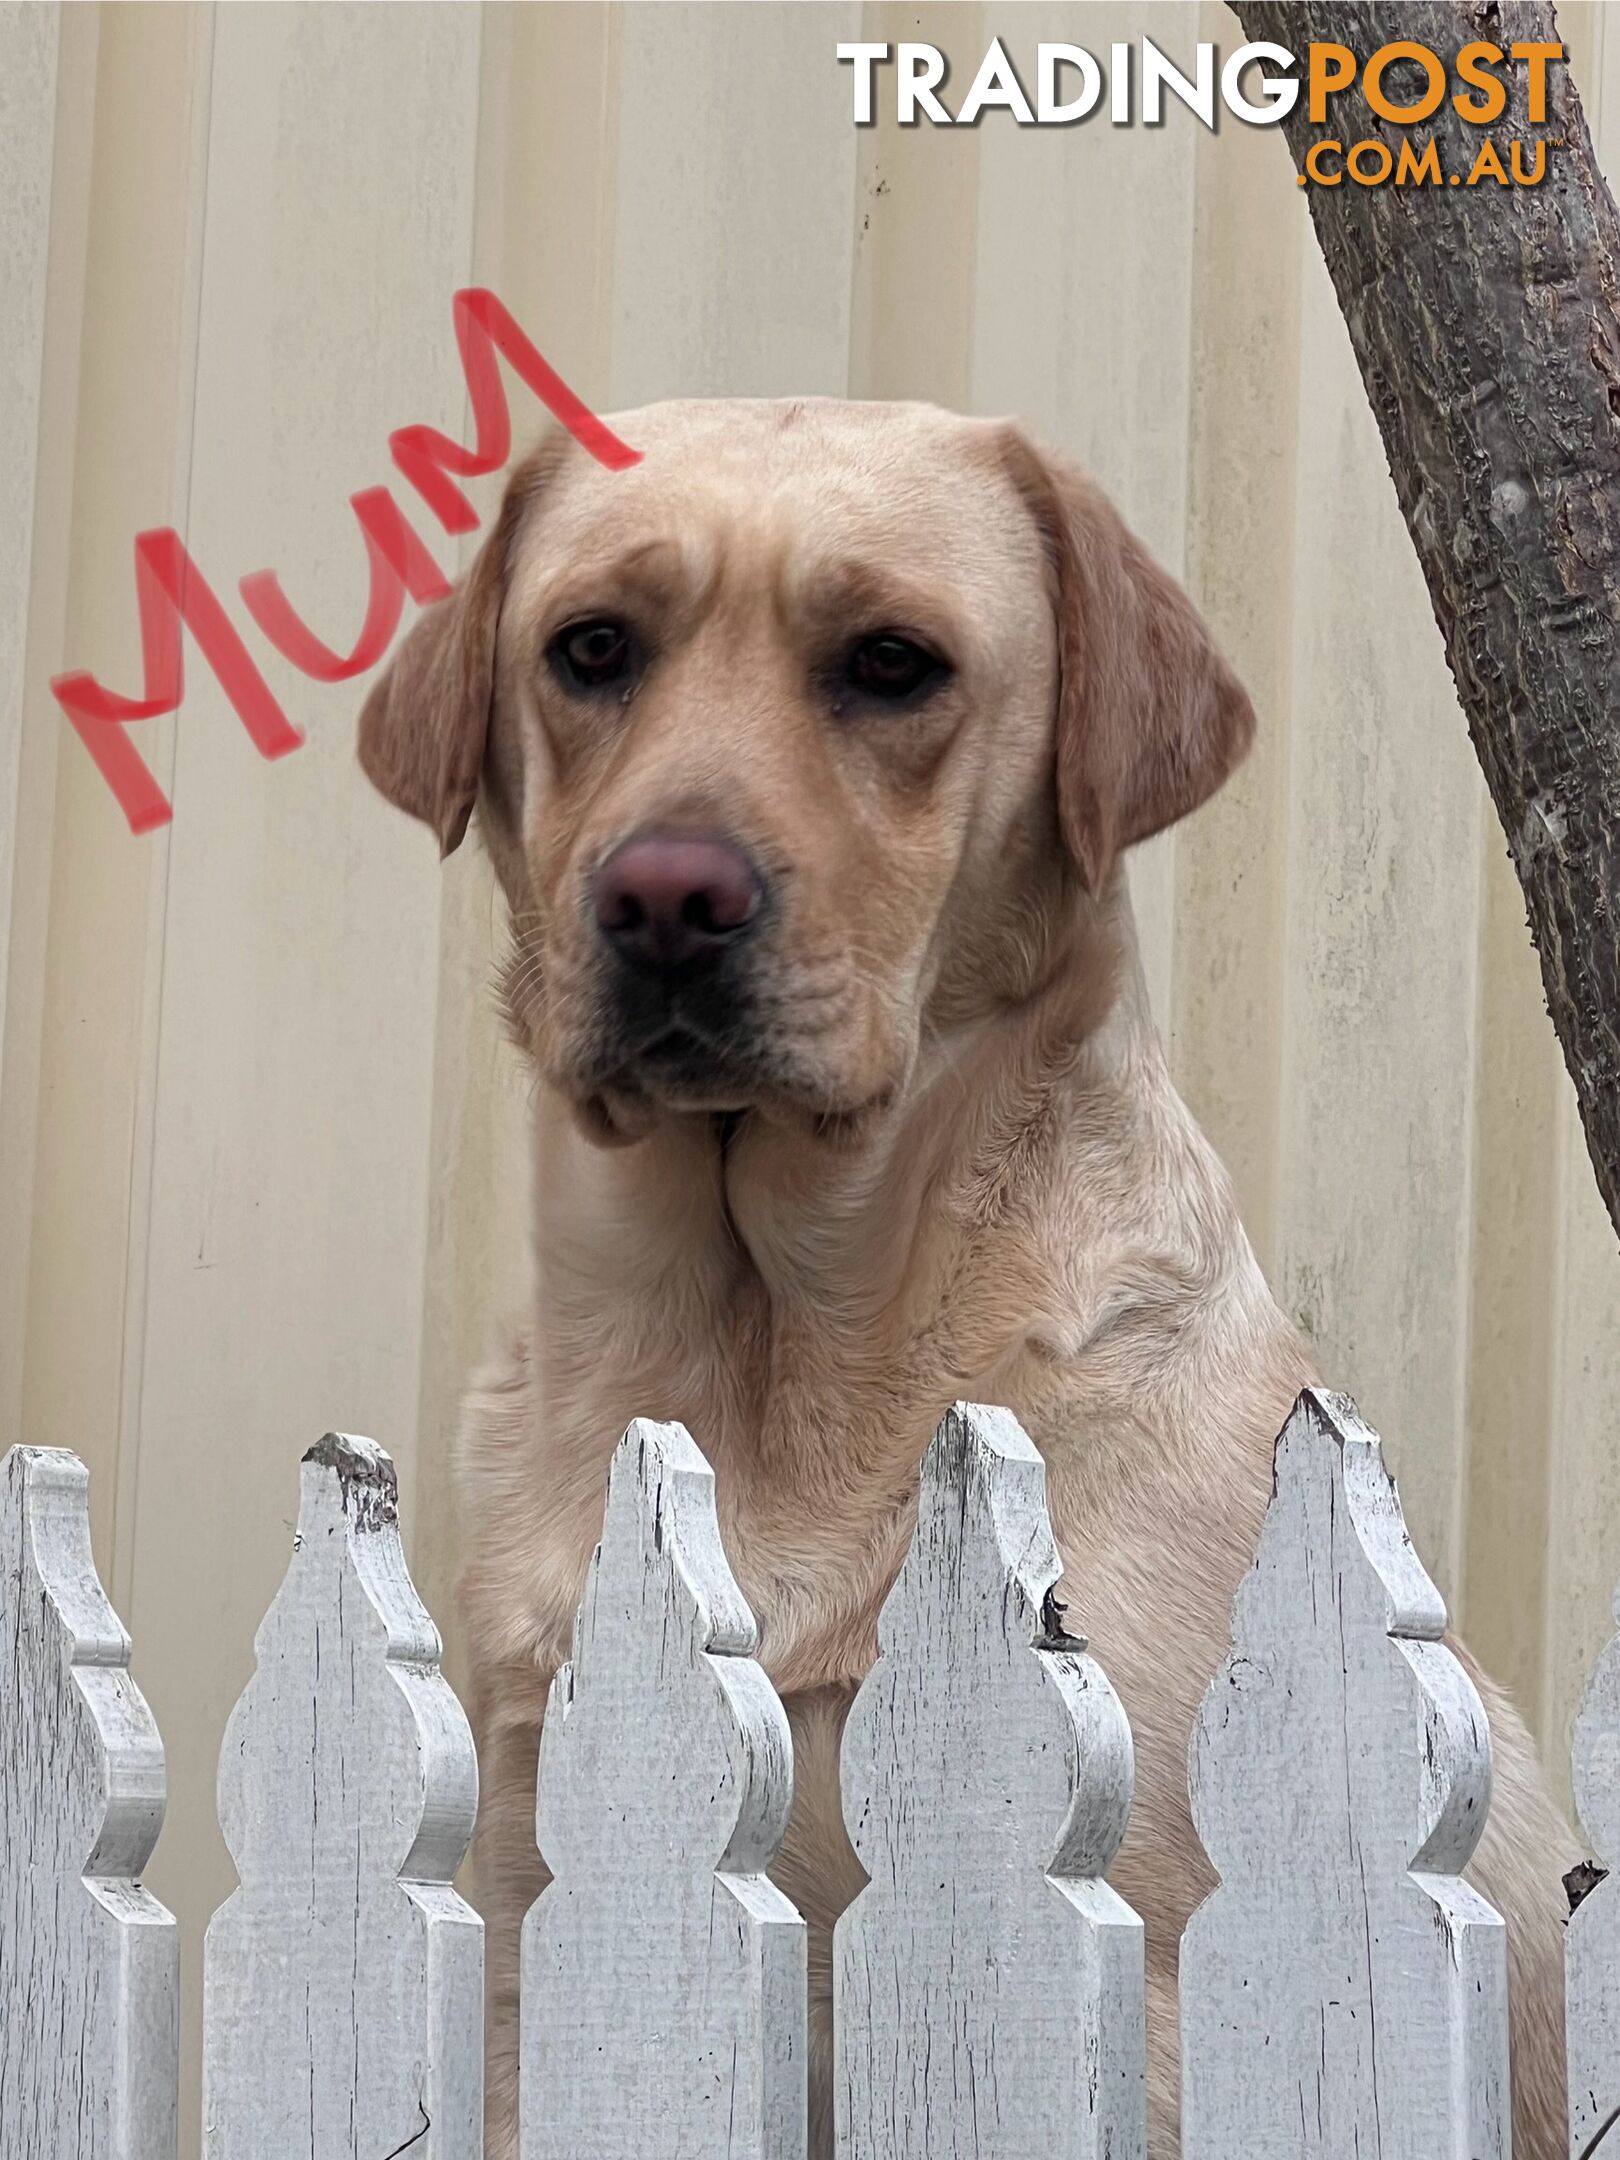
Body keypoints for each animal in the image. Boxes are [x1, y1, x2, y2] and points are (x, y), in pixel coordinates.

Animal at [354, 397, 1572, 2151]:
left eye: (891, 663)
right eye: (591, 648)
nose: (665, 898)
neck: (774, 1352)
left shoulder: (1153, 1993)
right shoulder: (537, 1962)